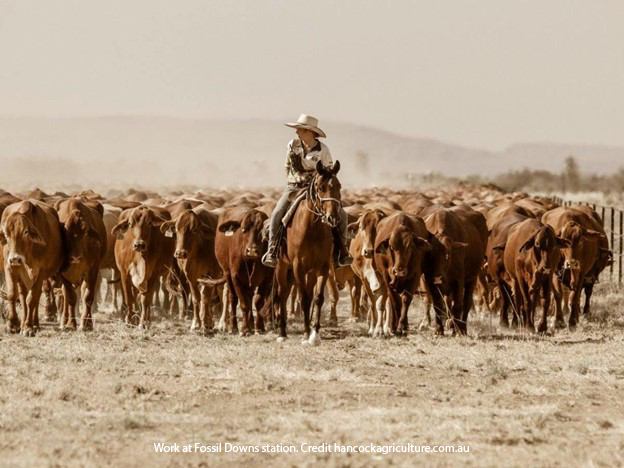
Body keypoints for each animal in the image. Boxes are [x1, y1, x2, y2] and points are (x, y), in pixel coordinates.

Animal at [0, 199, 64, 334]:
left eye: (25, 232)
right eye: (6, 234)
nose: (15, 258)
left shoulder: (40, 272)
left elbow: (32, 298)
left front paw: (29, 327)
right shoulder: (9, 267)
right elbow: (12, 295)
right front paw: (13, 325)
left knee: (34, 297)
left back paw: (34, 324)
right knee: (23, 296)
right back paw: (23, 322)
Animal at [55, 197, 106, 330]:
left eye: (85, 233)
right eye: (66, 233)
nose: (76, 257)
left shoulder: (93, 269)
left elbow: (88, 296)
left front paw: (87, 324)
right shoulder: (63, 273)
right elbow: (71, 297)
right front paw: (70, 323)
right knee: (66, 295)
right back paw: (64, 321)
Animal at [272, 160, 344, 344]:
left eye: (338, 186)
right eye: (320, 187)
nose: (333, 217)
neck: (313, 229)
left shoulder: (323, 266)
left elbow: (317, 298)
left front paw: (314, 333)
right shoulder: (298, 266)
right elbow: (304, 299)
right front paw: (305, 332)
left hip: (308, 271)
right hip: (282, 266)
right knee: (282, 294)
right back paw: (282, 333)